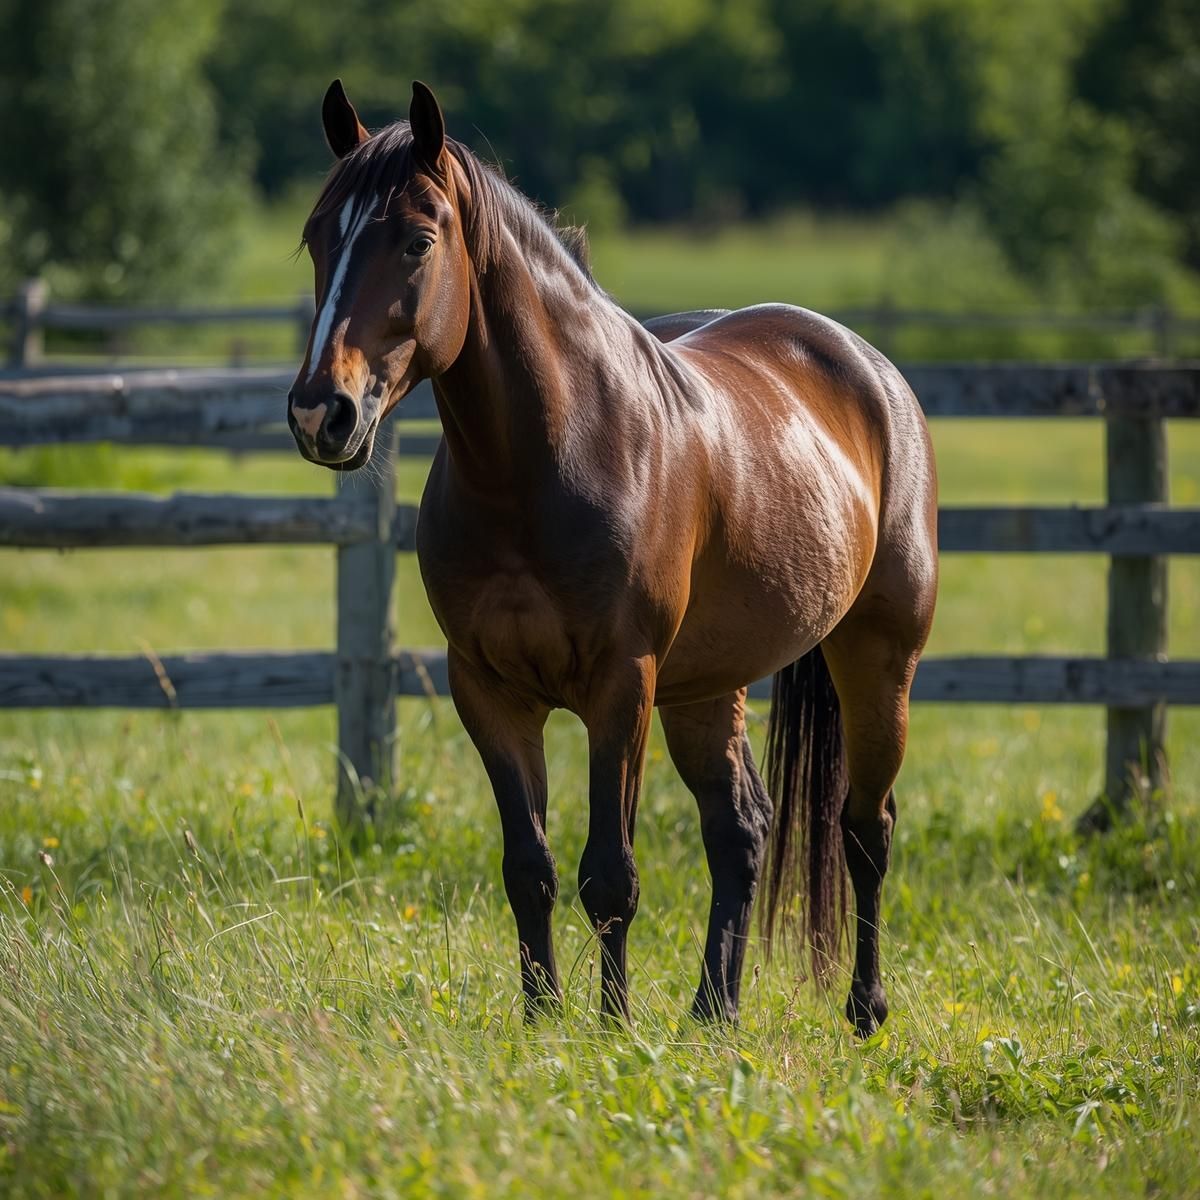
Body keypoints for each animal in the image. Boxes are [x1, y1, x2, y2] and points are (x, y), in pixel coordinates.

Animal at [288, 80, 938, 1035]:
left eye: (417, 240)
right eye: (317, 235)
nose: (320, 413)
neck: (548, 459)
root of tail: (865, 364)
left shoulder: (619, 687)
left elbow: (610, 874)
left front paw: (613, 1027)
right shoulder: (488, 691)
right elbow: (530, 867)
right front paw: (542, 1019)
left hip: (877, 658)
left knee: (866, 826)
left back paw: (863, 1008)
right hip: (707, 687)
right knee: (742, 829)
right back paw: (714, 1010)